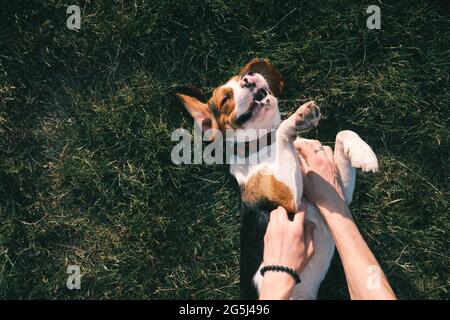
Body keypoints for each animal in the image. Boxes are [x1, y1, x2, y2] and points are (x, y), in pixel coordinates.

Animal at [177, 58, 380, 300]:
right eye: (225, 98)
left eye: (243, 75)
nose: (249, 78)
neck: (264, 145)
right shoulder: (288, 199)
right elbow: (283, 128)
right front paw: (297, 120)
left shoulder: (339, 196)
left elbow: (343, 133)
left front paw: (364, 154)